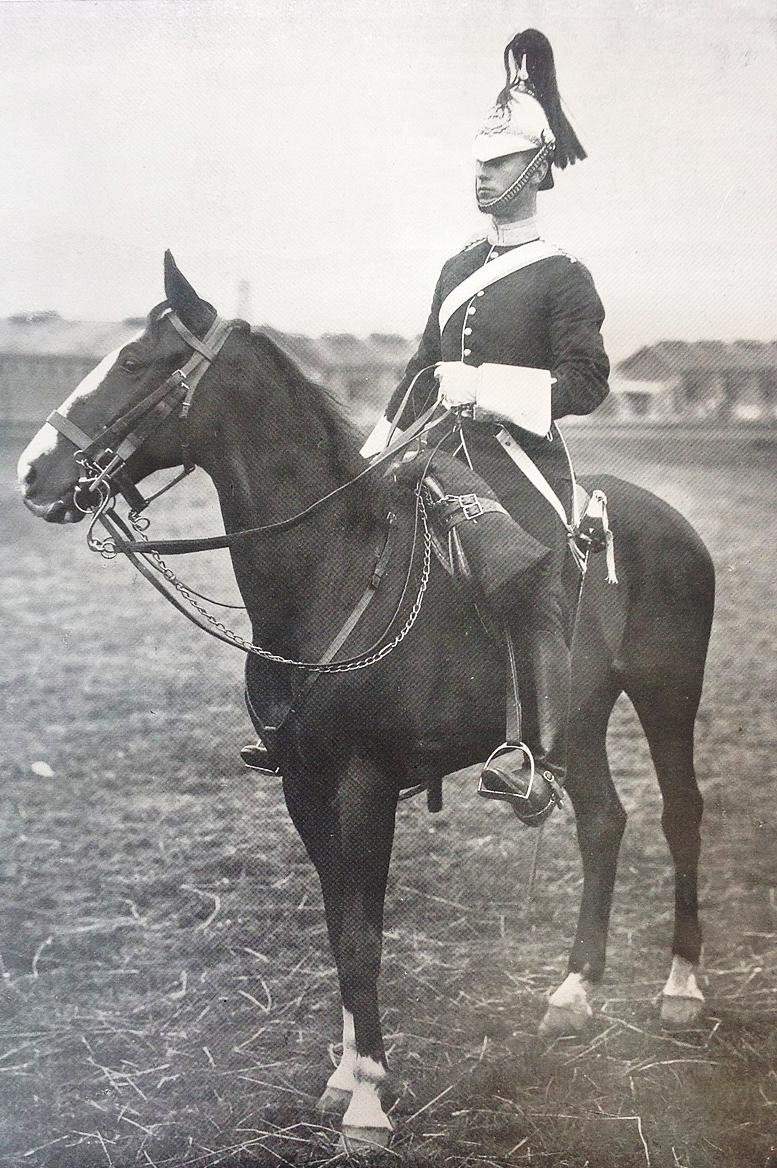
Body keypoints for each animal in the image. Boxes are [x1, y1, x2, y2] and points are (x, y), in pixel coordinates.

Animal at [17, 252, 714, 1149]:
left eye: (136, 362)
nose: (33, 473)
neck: (330, 571)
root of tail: (666, 517)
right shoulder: (303, 784)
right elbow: (336, 920)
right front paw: (346, 1074)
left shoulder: (365, 783)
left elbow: (362, 934)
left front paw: (370, 1101)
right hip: (582, 714)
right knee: (602, 822)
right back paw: (572, 993)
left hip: (667, 693)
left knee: (680, 814)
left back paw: (681, 988)